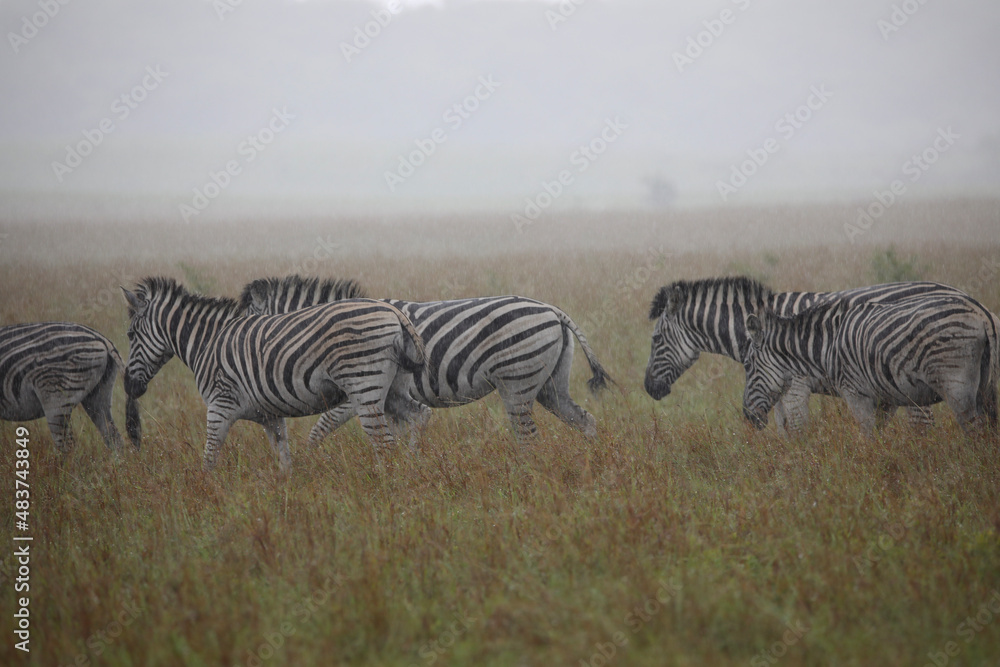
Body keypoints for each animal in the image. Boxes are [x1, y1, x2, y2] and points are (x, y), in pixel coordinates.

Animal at [120, 277, 425, 471]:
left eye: (130, 335)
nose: (128, 386)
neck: (206, 342)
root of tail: (395, 312)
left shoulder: (219, 405)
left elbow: (209, 458)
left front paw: (205, 497)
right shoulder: (271, 415)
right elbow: (284, 461)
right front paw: (286, 501)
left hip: (364, 386)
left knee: (385, 443)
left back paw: (385, 486)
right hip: (393, 389)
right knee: (418, 415)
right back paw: (411, 469)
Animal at [239, 275, 612, 444]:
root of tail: (555, 311)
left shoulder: (358, 392)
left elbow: (320, 429)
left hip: (518, 379)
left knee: (528, 434)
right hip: (550, 384)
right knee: (584, 420)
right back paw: (588, 465)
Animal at [644, 277, 973, 432]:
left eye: (656, 339)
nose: (648, 388)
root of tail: (964, 295)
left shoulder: (794, 384)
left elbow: (798, 427)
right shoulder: (774, 385)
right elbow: (784, 430)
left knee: (922, 424)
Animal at [741, 294, 999, 434]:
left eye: (748, 366)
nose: (747, 416)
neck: (826, 348)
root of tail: (982, 312)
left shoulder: (856, 393)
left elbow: (867, 436)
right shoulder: (884, 398)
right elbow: (878, 435)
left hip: (957, 386)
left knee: (974, 431)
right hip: (986, 390)